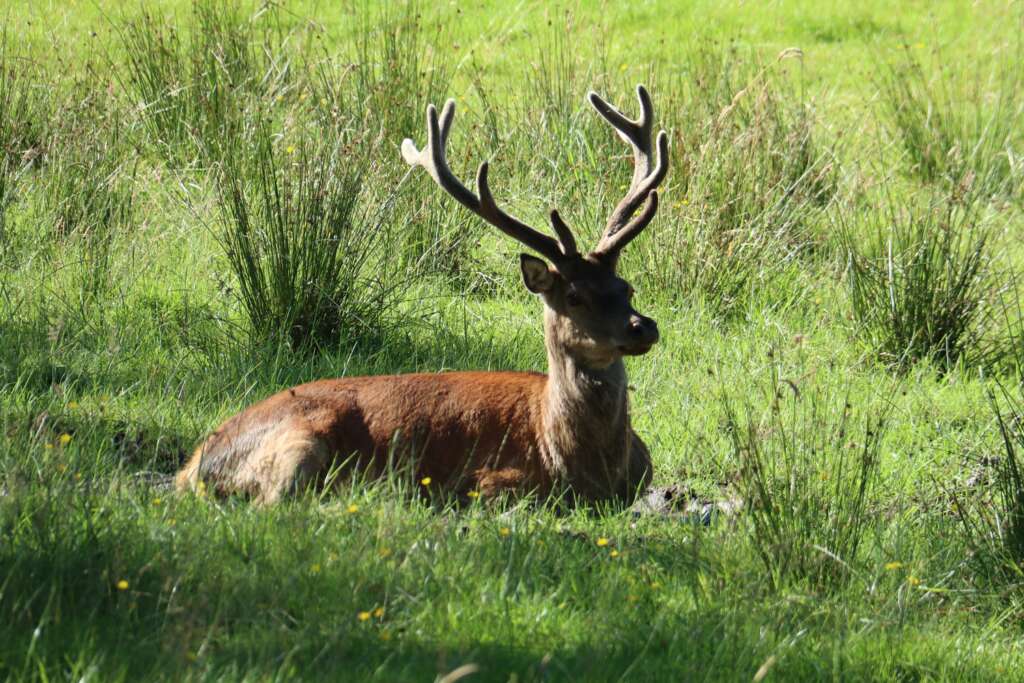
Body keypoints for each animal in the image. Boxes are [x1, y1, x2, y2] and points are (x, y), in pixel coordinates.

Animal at [174, 85, 671, 505]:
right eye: (574, 297)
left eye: (626, 287)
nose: (642, 326)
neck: (585, 468)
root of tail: (193, 464)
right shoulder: (491, 482)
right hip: (298, 443)